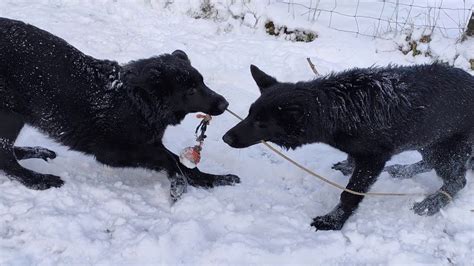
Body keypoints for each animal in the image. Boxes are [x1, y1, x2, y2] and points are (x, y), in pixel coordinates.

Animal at [0, 16, 239, 195]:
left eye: (202, 82)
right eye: (190, 91)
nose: (225, 103)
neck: (137, 101)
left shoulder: (149, 142)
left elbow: (181, 162)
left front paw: (213, 179)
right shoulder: (115, 152)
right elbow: (170, 160)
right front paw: (181, 182)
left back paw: (36, 152)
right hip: (10, 115)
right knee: (6, 159)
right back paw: (37, 179)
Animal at [223, 63, 474, 230]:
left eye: (261, 123)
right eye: (249, 114)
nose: (226, 138)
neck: (340, 110)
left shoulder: (373, 160)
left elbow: (349, 195)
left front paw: (333, 220)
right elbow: (352, 161)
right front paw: (347, 165)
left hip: (445, 147)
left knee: (457, 181)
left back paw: (433, 202)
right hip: (430, 139)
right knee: (430, 162)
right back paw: (404, 170)